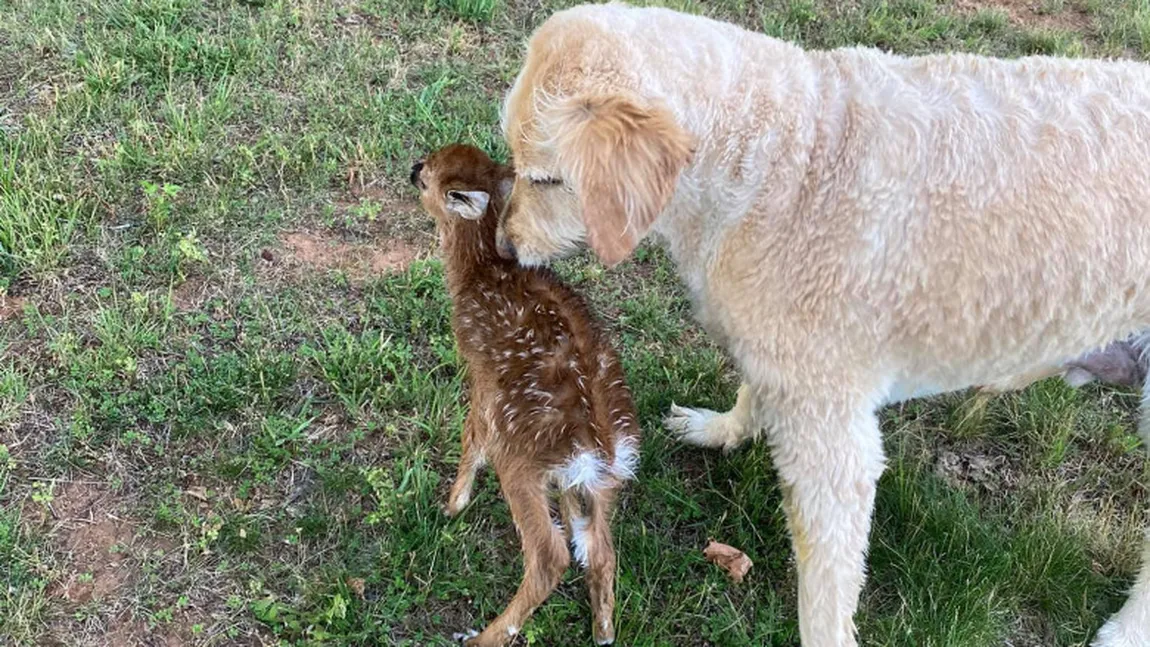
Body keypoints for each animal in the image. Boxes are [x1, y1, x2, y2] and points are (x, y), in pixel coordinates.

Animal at [494, 2, 1150, 643]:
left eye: (547, 179)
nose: (502, 246)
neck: (781, 158)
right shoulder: (778, 358)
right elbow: (752, 392)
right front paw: (722, 430)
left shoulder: (833, 446)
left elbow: (826, 596)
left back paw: (1125, 630)